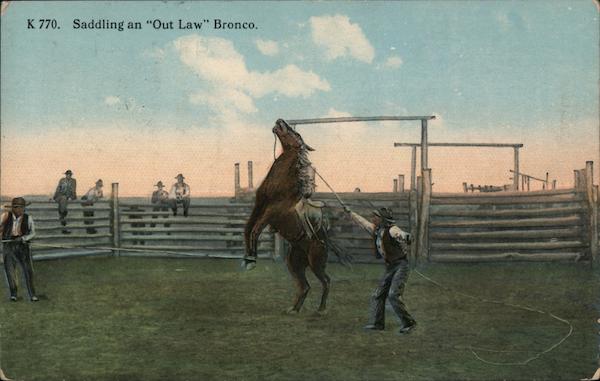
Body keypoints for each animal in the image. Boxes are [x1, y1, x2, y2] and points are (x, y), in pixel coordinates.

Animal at [243, 118, 350, 312]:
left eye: (296, 133)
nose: (280, 121)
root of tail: (326, 240)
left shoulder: (271, 212)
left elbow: (255, 230)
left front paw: (252, 260)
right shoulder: (259, 206)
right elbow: (248, 229)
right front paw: (248, 259)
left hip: (316, 261)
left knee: (326, 281)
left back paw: (321, 309)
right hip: (294, 262)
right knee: (305, 285)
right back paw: (294, 309)